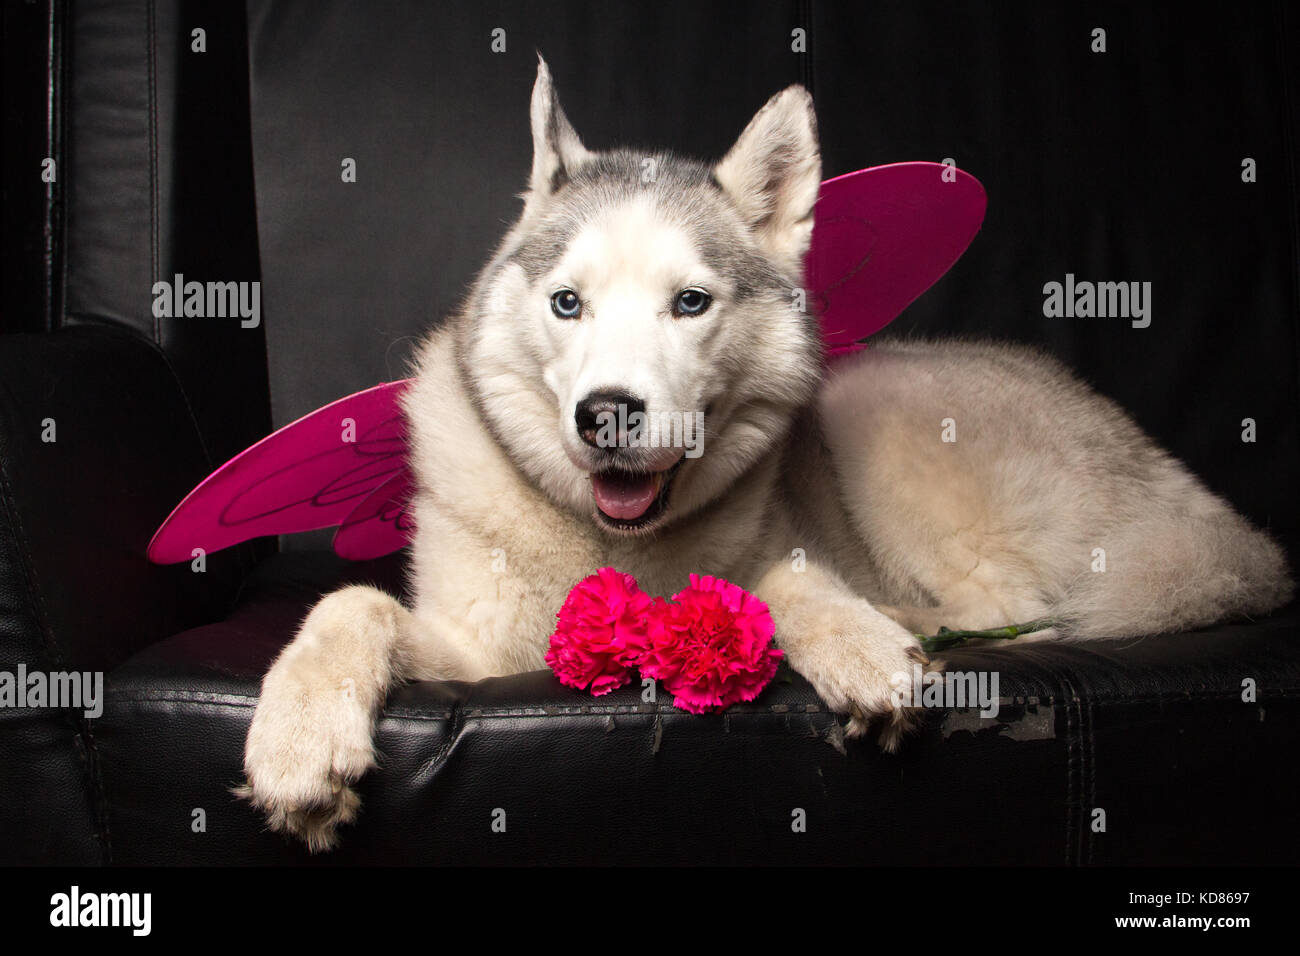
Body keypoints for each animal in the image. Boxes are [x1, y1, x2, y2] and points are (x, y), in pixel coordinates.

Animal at [239, 57, 1294, 853]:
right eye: (567, 303)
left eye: (691, 303)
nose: (608, 414)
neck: (611, 546)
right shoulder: (479, 657)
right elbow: (352, 604)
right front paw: (298, 736)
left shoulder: (773, 556)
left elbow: (788, 578)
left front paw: (856, 639)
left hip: (875, 399)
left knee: (1011, 606)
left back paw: (899, 617)